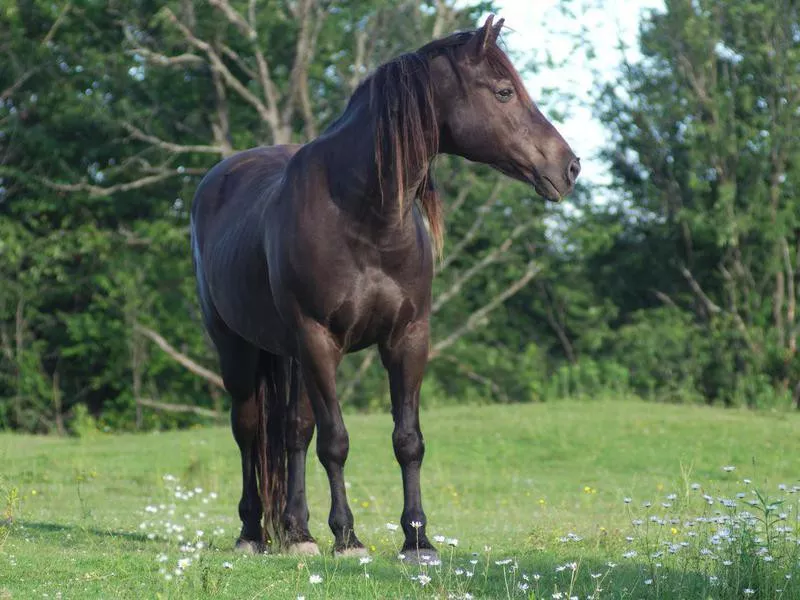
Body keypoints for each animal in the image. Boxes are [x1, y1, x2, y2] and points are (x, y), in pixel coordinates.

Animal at [191, 14, 580, 560]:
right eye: (504, 92)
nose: (569, 166)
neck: (364, 218)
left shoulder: (408, 338)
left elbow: (407, 439)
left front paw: (417, 538)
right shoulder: (319, 341)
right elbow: (336, 441)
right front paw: (347, 538)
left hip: (290, 356)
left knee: (292, 433)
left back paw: (296, 531)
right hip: (238, 348)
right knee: (249, 433)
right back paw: (253, 533)